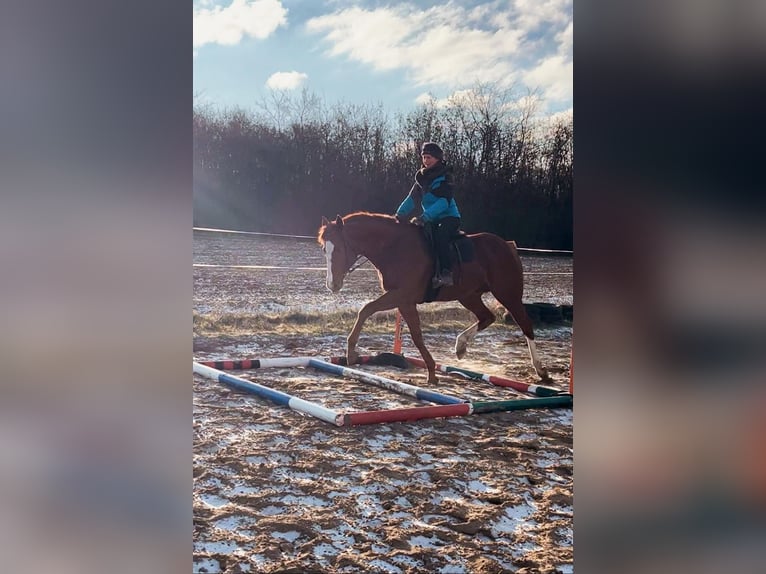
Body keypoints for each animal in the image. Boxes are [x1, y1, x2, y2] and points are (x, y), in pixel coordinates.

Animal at [318, 213, 552, 388]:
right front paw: (432, 371)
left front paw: (351, 352)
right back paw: (460, 347)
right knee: (487, 317)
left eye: (338, 248)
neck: (394, 248)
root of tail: (507, 246)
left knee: (525, 324)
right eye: (324, 249)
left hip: (508, 294)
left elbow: (368, 310)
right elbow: (414, 333)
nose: (332, 284)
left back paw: (541, 370)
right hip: (468, 296)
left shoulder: (402, 296)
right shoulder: (403, 301)